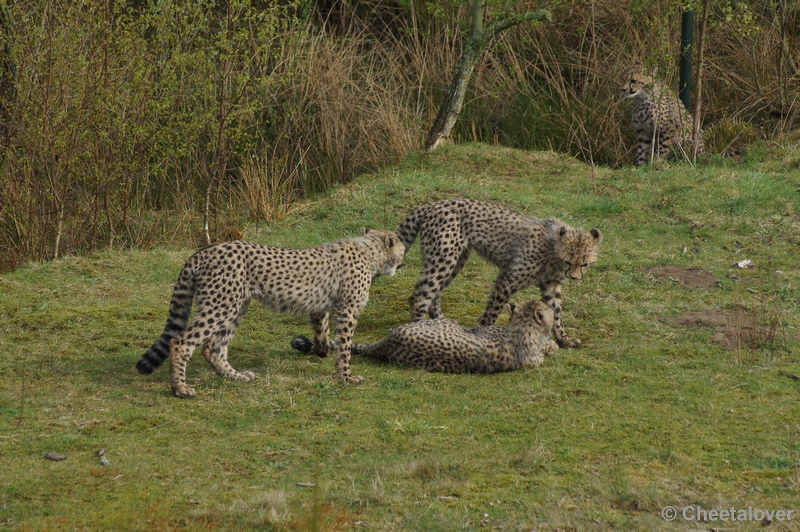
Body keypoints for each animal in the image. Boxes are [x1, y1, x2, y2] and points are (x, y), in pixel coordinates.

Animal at [135, 227, 406, 396]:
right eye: (402, 247)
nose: (403, 260)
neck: (369, 251)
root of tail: (206, 250)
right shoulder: (347, 309)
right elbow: (346, 346)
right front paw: (347, 376)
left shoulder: (321, 306)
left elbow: (322, 329)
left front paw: (321, 350)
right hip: (221, 305)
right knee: (181, 342)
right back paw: (180, 389)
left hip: (236, 306)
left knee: (213, 348)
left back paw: (236, 377)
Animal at [396, 200, 604, 350]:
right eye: (568, 261)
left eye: (584, 264)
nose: (575, 277)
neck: (553, 249)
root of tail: (433, 204)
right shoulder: (508, 279)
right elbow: (493, 310)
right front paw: (484, 333)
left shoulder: (550, 285)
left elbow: (557, 314)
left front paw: (564, 340)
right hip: (443, 258)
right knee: (420, 296)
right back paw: (421, 329)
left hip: (457, 260)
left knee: (435, 292)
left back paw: (440, 322)